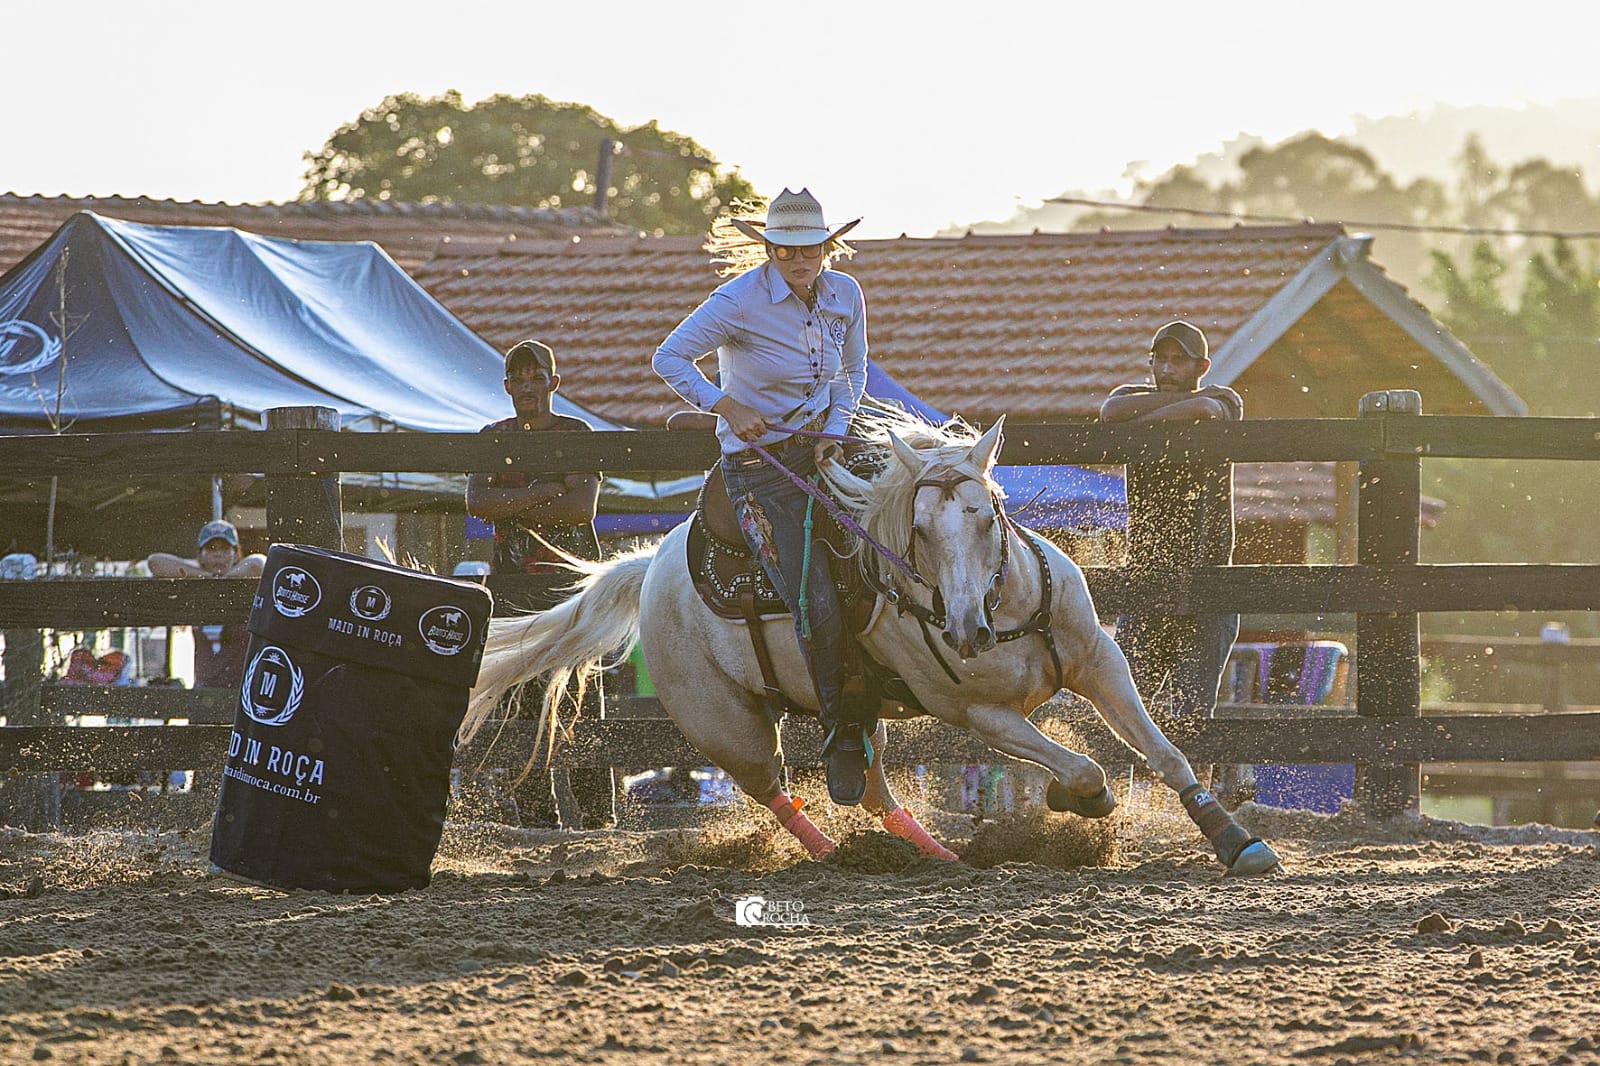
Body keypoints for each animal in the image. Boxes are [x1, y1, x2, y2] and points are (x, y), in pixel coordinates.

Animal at [457, 409, 1280, 877]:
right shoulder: (978, 717)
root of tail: (649, 567)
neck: (1006, 610)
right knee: (778, 791)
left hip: (858, 719)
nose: (966, 630)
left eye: (987, 514)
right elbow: (1082, 764)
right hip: (726, 727)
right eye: (918, 530)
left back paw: (935, 855)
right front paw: (1081, 798)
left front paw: (1236, 842)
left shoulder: (1101, 662)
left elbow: (1167, 754)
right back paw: (835, 857)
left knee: (875, 791)